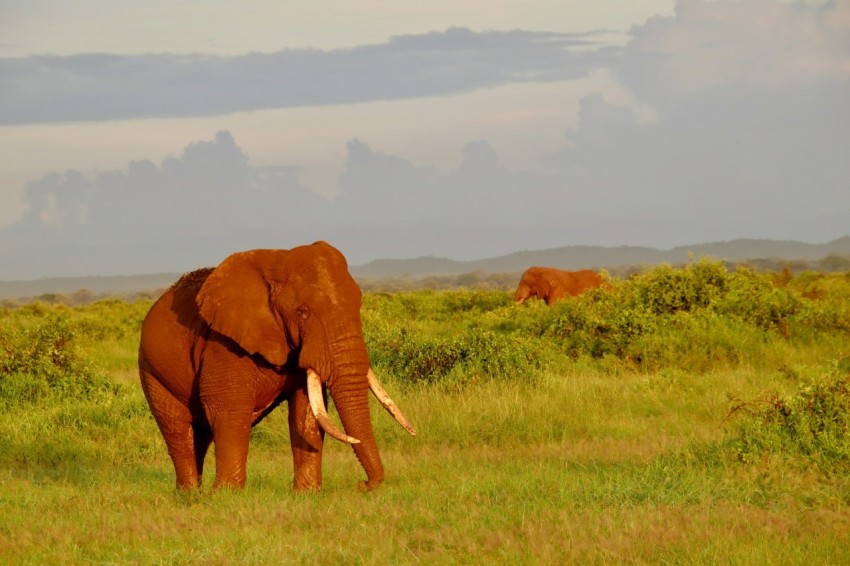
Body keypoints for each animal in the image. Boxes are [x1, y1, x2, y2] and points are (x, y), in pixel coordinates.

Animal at [137, 242, 416, 494]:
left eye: (358, 305)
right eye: (302, 313)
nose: (363, 485)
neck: (278, 263)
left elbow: (306, 413)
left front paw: (307, 494)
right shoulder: (224, 344)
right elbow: (228, 411)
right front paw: (227, 495)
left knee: (200, 435)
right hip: (152, 371)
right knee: (179, 431)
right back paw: (189, 495)